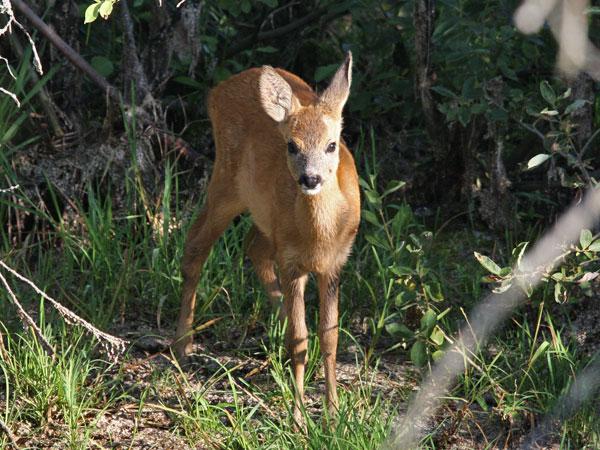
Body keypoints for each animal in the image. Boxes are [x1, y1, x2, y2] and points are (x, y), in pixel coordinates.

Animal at [173, 51, 360, 422]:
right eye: (292, 145)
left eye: (332, 145)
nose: (310, 179)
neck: (318, 237)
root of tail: (219, 89)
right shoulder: (291, 262)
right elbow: (299, 340)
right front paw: (299, 419)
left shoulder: (334, 264)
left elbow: (329, 337)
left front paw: (333, 415)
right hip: (227, 182)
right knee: (195, 245)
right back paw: (182, 344)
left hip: (262, 216)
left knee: (252, 247)